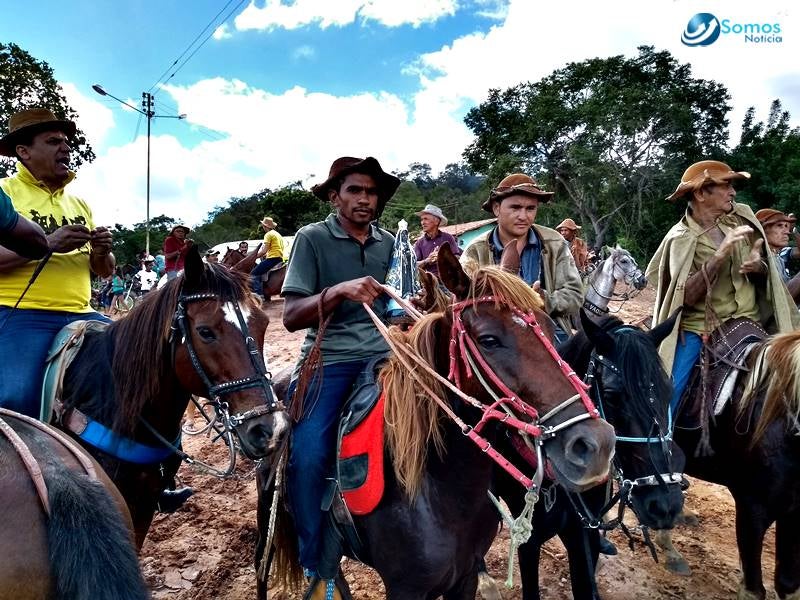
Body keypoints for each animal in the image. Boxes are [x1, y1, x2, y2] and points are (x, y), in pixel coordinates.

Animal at [260, 244, 616, 600]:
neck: (440, 491)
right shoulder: (405, 589)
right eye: (488, 340)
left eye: (550, 328)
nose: (595, 445)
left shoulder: (466, 576)